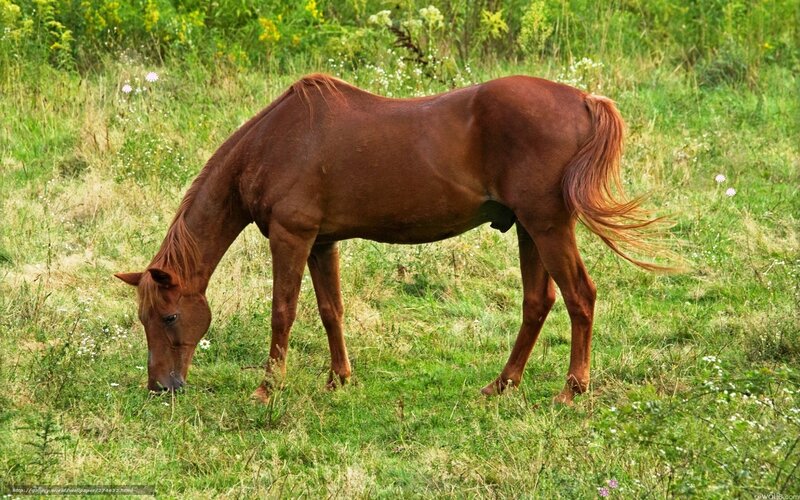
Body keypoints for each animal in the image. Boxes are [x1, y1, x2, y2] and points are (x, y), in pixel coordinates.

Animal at [115, 73, 664, 405]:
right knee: (538, 302)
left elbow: (282, 312)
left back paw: (573, 389)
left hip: (548, 226)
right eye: (144, 318)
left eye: (168, 316)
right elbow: (330, 310)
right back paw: (501, 384)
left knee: (579, 297)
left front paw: (267, 390)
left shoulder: (291, 238)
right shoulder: (321, 242)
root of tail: (584, 100)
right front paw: (339, 378)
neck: (273, 143)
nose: (160, 387)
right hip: (530, 229)